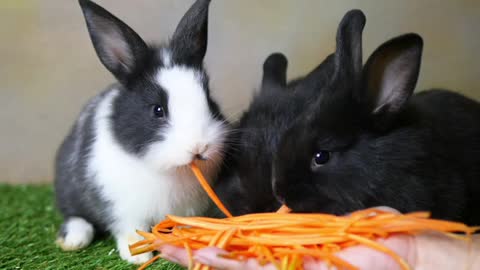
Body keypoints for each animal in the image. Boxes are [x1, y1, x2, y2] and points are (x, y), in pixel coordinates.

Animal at [54, 0, 229, 262]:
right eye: (157, 110)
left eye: (209, 100)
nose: (199, 147)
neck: (169, 169)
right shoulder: (122, 208)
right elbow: (131, 230)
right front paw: (137, 256)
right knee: (76, 216)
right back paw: (73, 240)